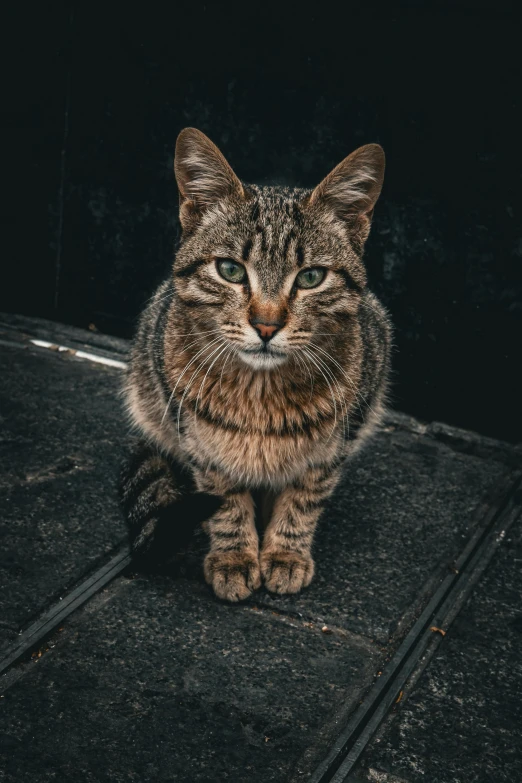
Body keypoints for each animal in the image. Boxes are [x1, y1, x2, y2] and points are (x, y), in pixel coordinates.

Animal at [120, 129, 390, 604]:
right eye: (230, 269)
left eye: (311, 277)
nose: (266, 324)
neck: (260, 394)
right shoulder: (200, 445)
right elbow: (226, 502)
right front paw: (234, 557)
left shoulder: (338, 441)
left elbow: (303, 501)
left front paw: (285, 553)